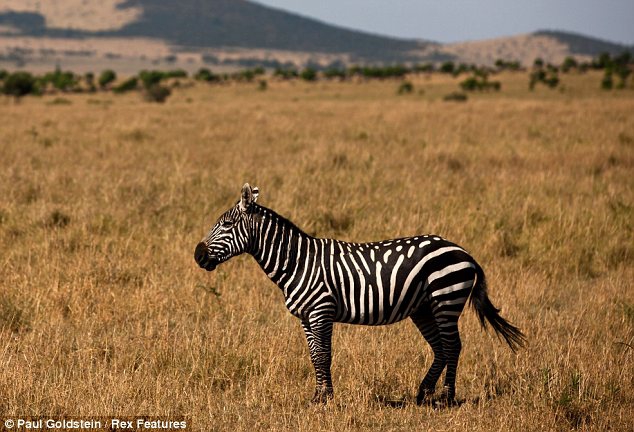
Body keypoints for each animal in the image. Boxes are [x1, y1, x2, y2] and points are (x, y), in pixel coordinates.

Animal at [194, 183, 524, 404]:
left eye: (226, 224)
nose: (198, 255)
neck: (297, 262)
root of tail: (463, 251)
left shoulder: (322, 311)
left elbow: (324, 355)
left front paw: (326, 399)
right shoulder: (306, 317)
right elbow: (314, 355)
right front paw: (317, 396)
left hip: (446, 299)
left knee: (453, 347)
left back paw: (446, 397)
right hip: (424, 308)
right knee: (441, 348)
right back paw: (422, 394)